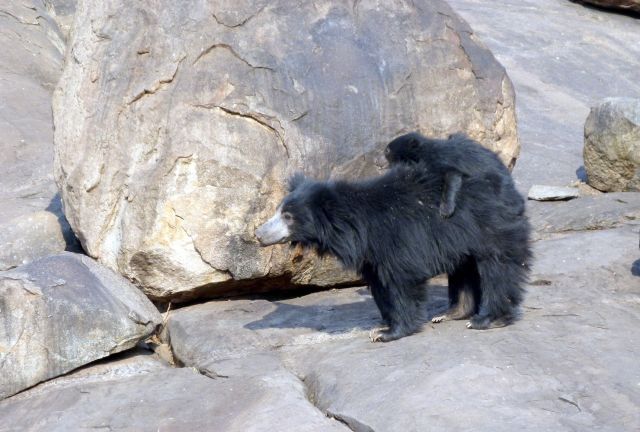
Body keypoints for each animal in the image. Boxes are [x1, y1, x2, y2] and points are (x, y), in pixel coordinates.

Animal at [255, 162, 531, 342]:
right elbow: (379, 286)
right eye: (279, 211)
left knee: (498, 268)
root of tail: (508, 186)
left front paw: (388, 333)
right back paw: (451, 312)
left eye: (288, 216)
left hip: (490, 227)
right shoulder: (371, 255)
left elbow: (402, 282)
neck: (355, 228)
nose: (258, 233)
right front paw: (383, 323)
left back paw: (486, 319)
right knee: (464, 268)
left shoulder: (396, 238)